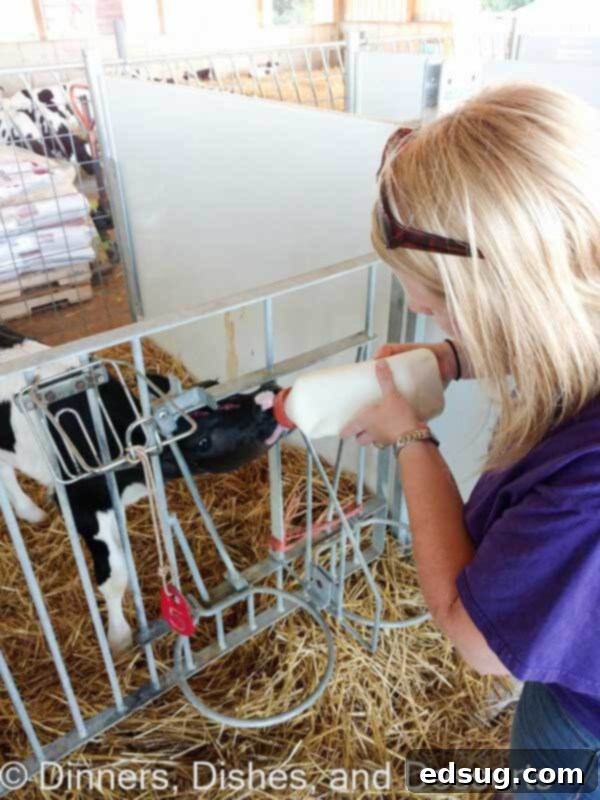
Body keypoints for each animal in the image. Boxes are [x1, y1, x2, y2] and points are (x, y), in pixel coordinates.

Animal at [0, 326, 288, 653]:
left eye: (229, 392)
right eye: (202, 442)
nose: (268, 396)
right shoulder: (81, 504)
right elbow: (115, 573)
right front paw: (119, 638)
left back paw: (29, 512)